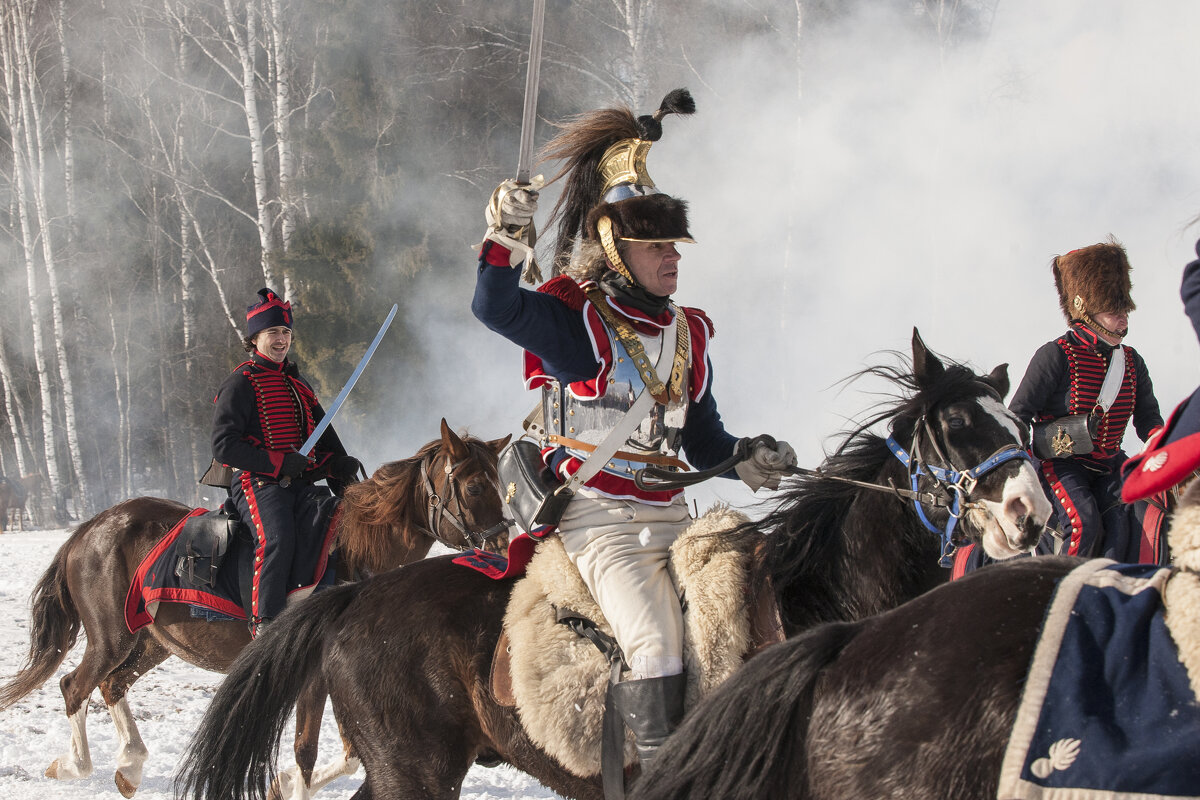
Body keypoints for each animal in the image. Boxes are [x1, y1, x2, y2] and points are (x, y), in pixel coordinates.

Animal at [0, 419, 511, 800]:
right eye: (473, 487)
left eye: (500, 483)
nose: (504, 546)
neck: (352, 550)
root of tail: (89, 528)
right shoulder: (310, 673)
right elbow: (307, 750)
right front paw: (290, 782)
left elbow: (346, 755)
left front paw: (281, 782)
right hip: (112, 637)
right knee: (75, 686)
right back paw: (75, 764)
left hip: (152, 643)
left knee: (111, 685)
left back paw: (129, 765)